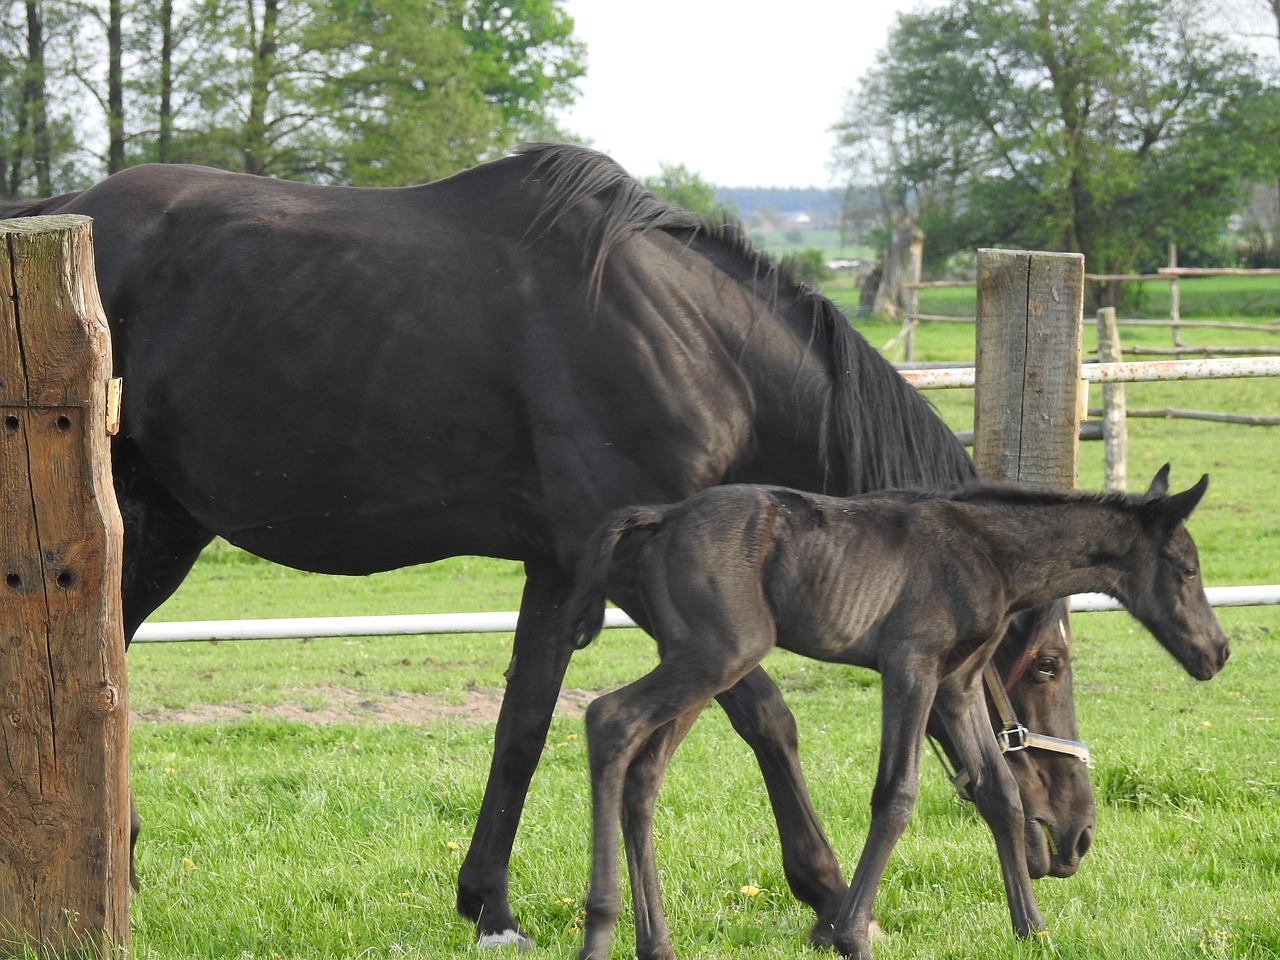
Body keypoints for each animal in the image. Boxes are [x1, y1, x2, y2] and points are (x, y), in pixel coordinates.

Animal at [0, 146, 1095, 952]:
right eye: (1045, 664)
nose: (1073, 833)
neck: (693, 340)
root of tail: (62, 208)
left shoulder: (572, 565)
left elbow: (522, 722)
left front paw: (487, 901)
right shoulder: (650, 572)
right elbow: (762, 717)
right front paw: (825, 894)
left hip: (163, 526)